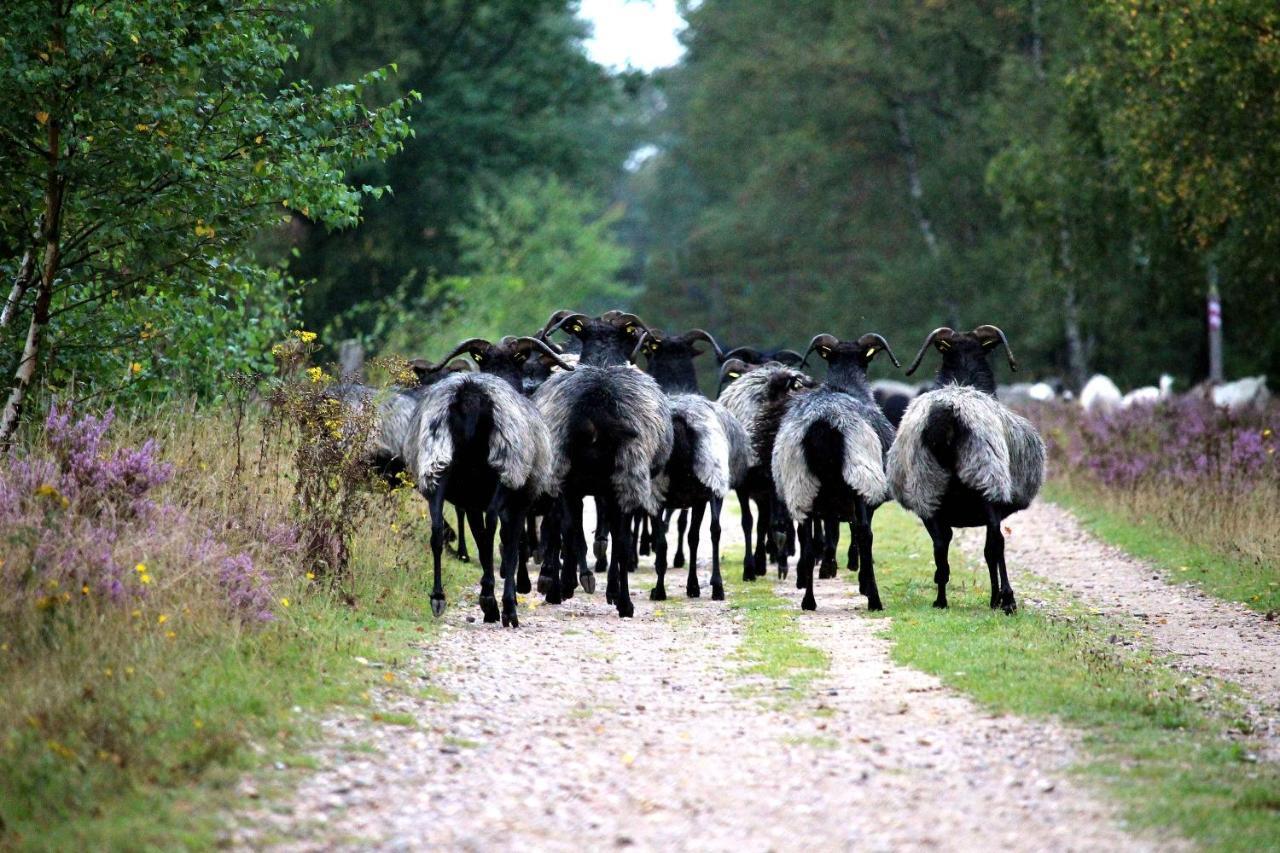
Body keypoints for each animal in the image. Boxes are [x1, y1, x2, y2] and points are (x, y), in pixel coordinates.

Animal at [404, 333, 576, 625]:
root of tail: (470, 395)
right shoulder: (519, 500)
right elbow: (511, 543)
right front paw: (507, 603)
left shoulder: (471, 501)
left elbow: (482, 537)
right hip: (504, 469)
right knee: (495, 524)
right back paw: (498, 604)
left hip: (437, 465)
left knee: (438, 530)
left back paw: (439, 598)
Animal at [529, 308, 675, 614]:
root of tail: (597, 398)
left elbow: (574, 532)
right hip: (625, 475)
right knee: (616, 539)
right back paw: (621, 600)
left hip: (569, 476)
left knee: (571, 530)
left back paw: (574, 583)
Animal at [768, 333, 901, 612]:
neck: (844, 385)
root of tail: (824, 423)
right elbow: (852, 533)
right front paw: (858, 578)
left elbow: (830, 532)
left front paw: (829, 567)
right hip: (860, 478)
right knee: (864, 534)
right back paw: (874, 599)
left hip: (803, 486)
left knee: (807, 544)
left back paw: (808, 600)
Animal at [890, 324, 1049, 612]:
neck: (963, 381)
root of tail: (946, 413)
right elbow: (991, 550)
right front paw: (998, 598)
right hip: (986, 479)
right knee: (996, 544)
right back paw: (1006, 599)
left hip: (927, 487)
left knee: (940, 544)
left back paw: (941, 600)